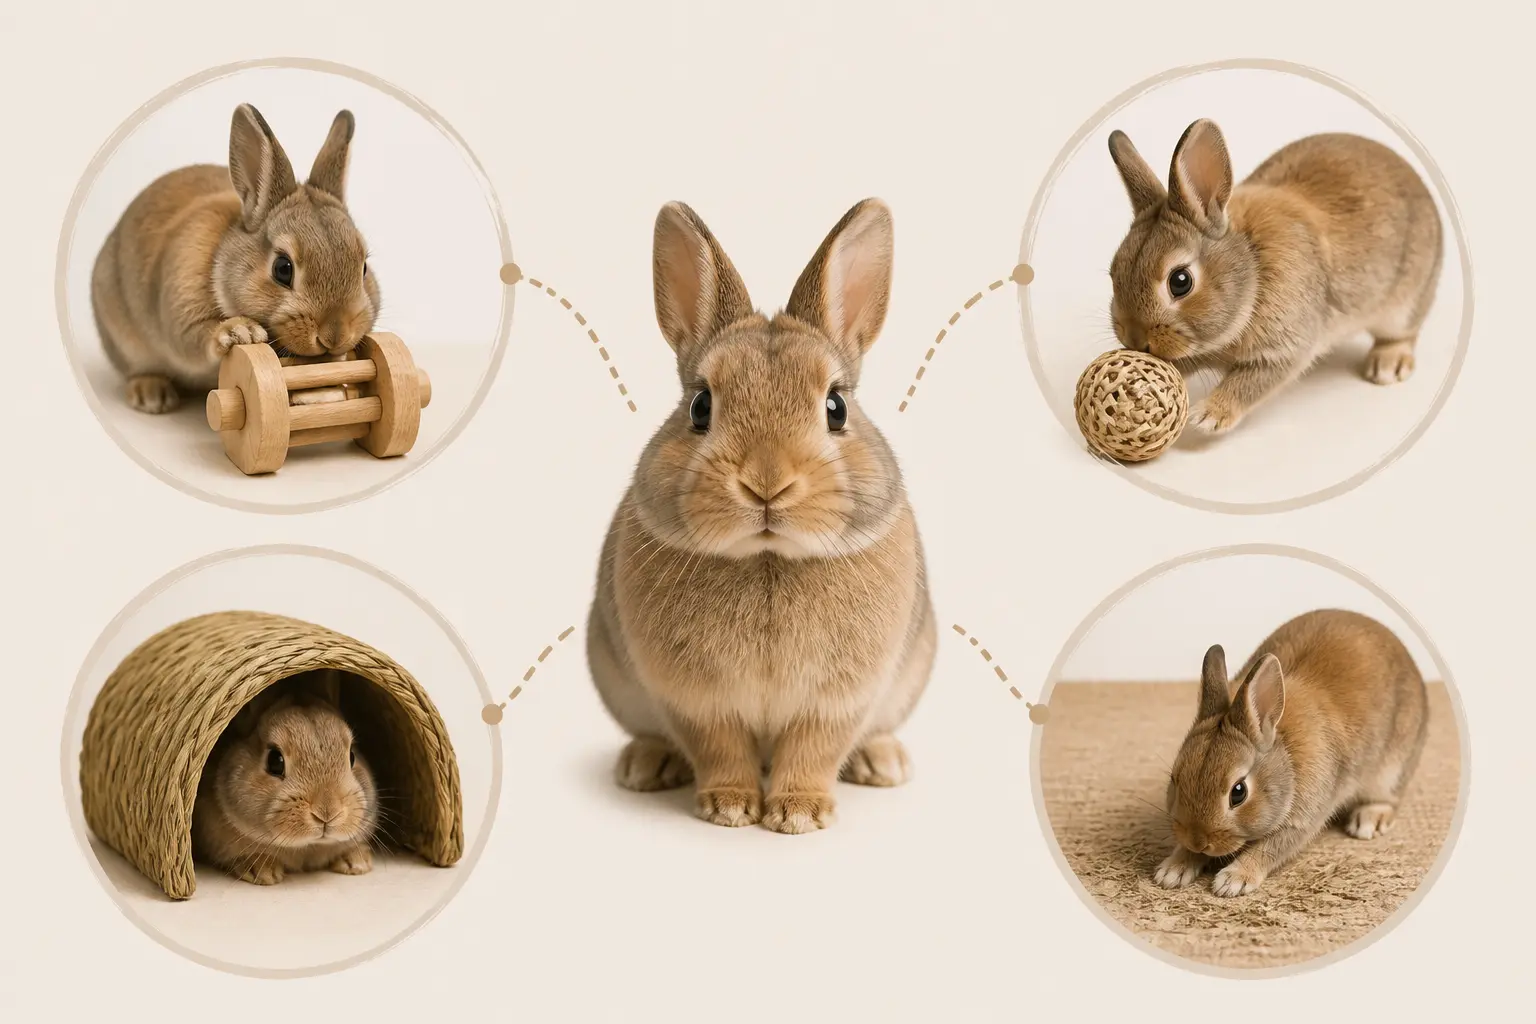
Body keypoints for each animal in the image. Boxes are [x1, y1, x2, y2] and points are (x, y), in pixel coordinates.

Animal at [91, 103, 381, 415]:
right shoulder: (182, 308)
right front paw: (241, 332)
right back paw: (151, 395)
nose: (335, 336)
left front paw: (322, 396)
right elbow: (193, 337)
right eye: (282, 269)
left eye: (364, 268)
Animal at [192, 671, 378, 885]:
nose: (327, 813)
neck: (307, 847)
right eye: (275, 761)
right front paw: (263, 871)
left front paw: (357, 862)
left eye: (352, 756)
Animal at [587, 198, 937, 835]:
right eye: (700, 406)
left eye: (836, 406)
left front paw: (799, 814)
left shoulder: (839, 700)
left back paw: (883, 763)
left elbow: (814, 749)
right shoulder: (695, 700)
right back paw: (645, 766)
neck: (767, 557)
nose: (767, 483)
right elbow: (719, 747)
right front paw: (728, 807)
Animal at [1106, 119, 1442, 435]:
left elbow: (1252, 381)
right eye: (1114, 270)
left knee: (1402, 333)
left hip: (1404, 305)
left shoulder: (1286, 347)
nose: (1135, 340)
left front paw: (1208, 416)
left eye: (1180, 281)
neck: (1252, 268)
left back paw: (1387, 366)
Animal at [1153, 609, 1429, 898]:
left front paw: (1233, 880)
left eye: (1238, 793)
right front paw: (1173, 870)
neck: (1284, 752)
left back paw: (1367, 821)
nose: (1198, 841)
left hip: (1392, 769)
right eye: (1175, 779)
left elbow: (1270, 849)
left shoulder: (1303, 819)